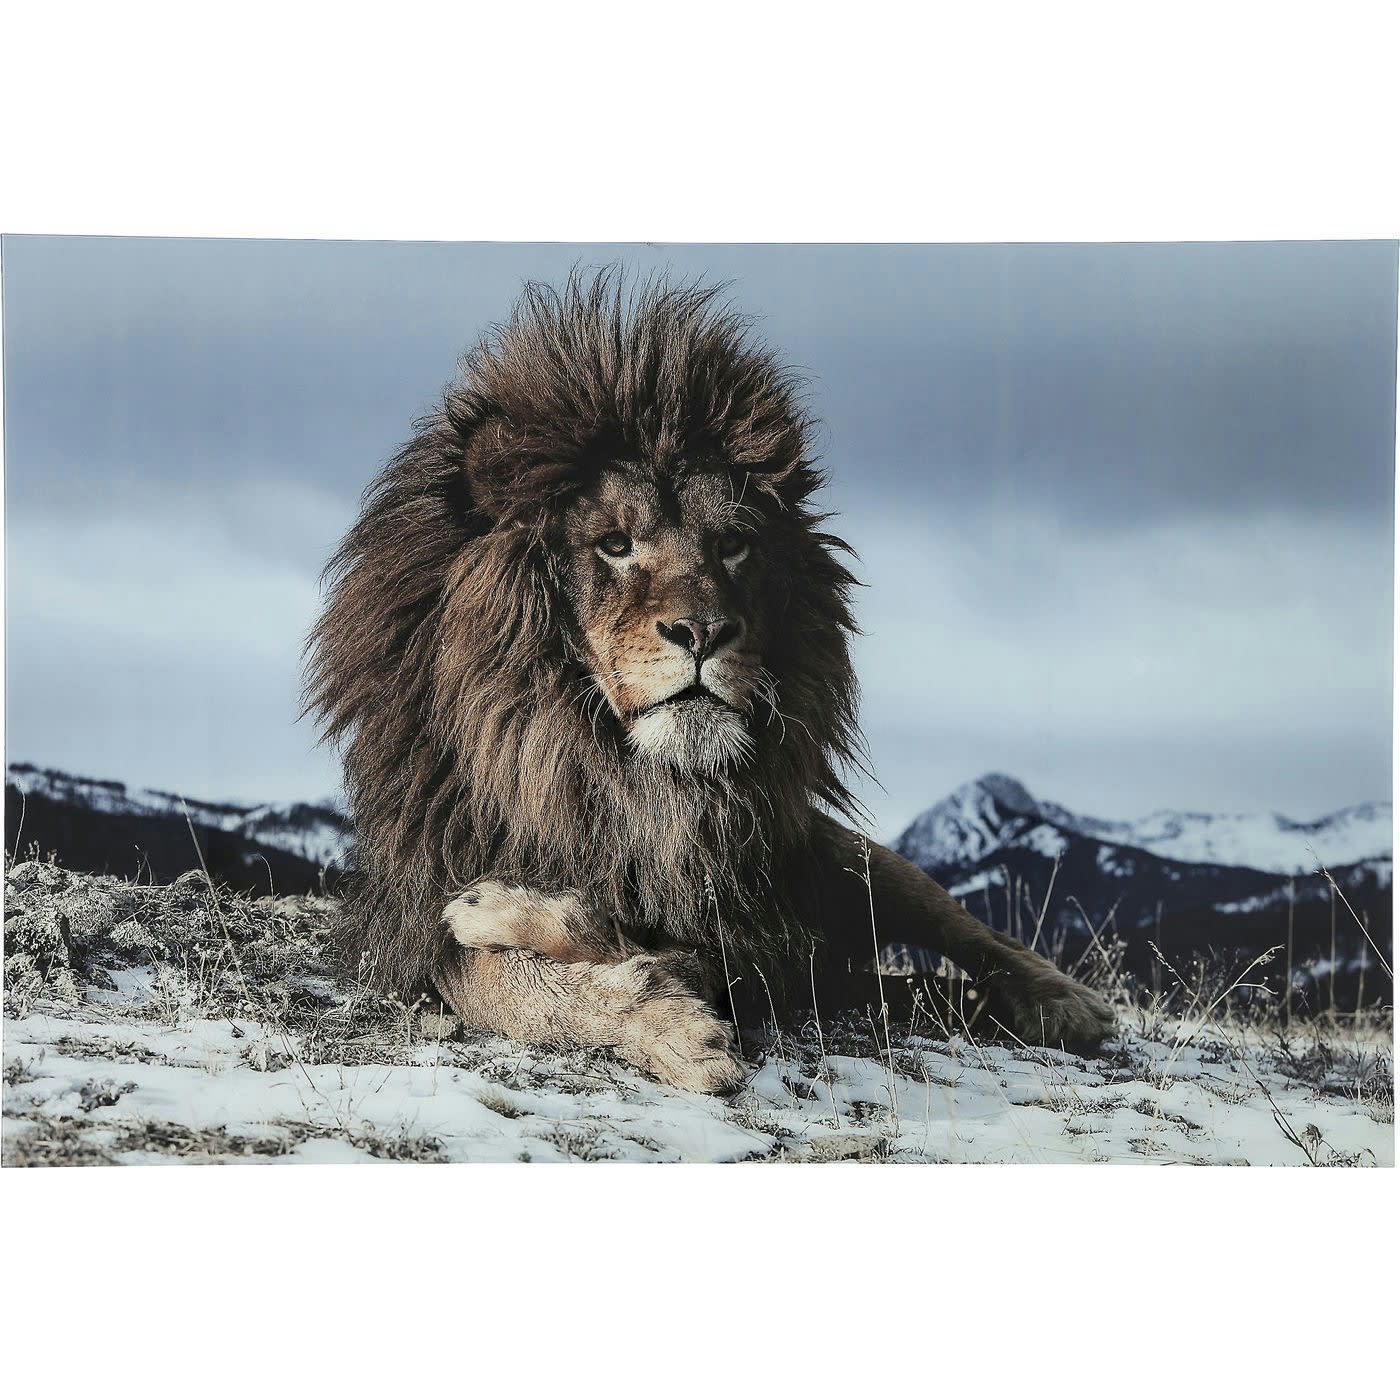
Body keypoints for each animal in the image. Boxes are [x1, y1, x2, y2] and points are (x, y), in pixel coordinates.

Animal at [305, 271, 1114, 1094]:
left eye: (732, 546)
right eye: (615, 544)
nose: (703, 632)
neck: (618, 777)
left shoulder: (757, 932)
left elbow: (622, 936)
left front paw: (519, 921)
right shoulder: (414, 922)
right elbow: (512, 982)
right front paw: (666, 1023)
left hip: (847, 857)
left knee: (970, 931)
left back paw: (1069, 1003)